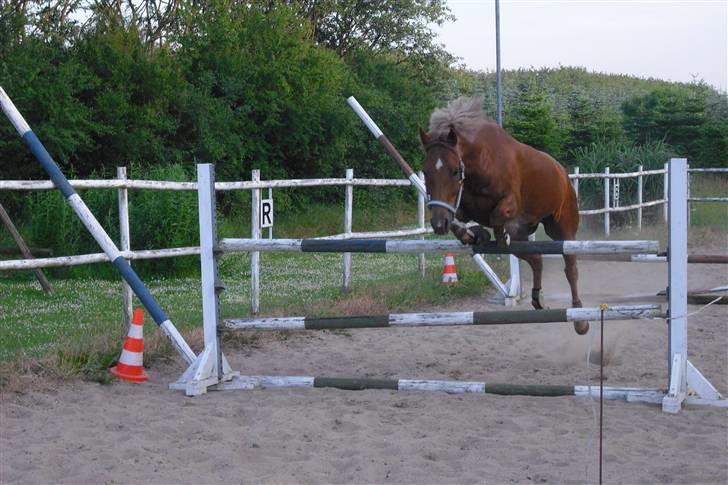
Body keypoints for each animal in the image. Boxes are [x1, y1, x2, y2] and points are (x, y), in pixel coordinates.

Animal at [419, 97, 588, 335]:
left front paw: (496, 236)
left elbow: (498, 217)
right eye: (425, 172)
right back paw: (538, 299)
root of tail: (562, 172)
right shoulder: (462, 207)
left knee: (570, 266)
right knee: (536, 259)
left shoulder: (510, 203)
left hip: (562, 227)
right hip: (525, 236)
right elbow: (460, 220)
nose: (437, 224)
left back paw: (579, 317)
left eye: (454, 171)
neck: (481, 162)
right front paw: (474, 234)